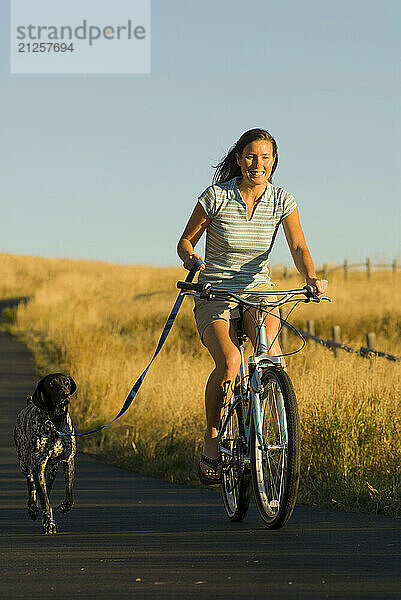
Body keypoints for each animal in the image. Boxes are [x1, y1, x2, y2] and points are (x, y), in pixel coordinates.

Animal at [14, 376, 77, 536]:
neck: (55, 421)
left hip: (52, 469)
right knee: (31, 483)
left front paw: (63, 507)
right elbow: (43, 499)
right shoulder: (39, 465)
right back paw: (33, 508)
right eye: (51, 384)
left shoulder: (68, 460)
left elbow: (69, 494)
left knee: (46, 488)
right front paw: (49, 524)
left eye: (66, 382)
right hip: (24, 462)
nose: (65, 395)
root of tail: (29, 404)